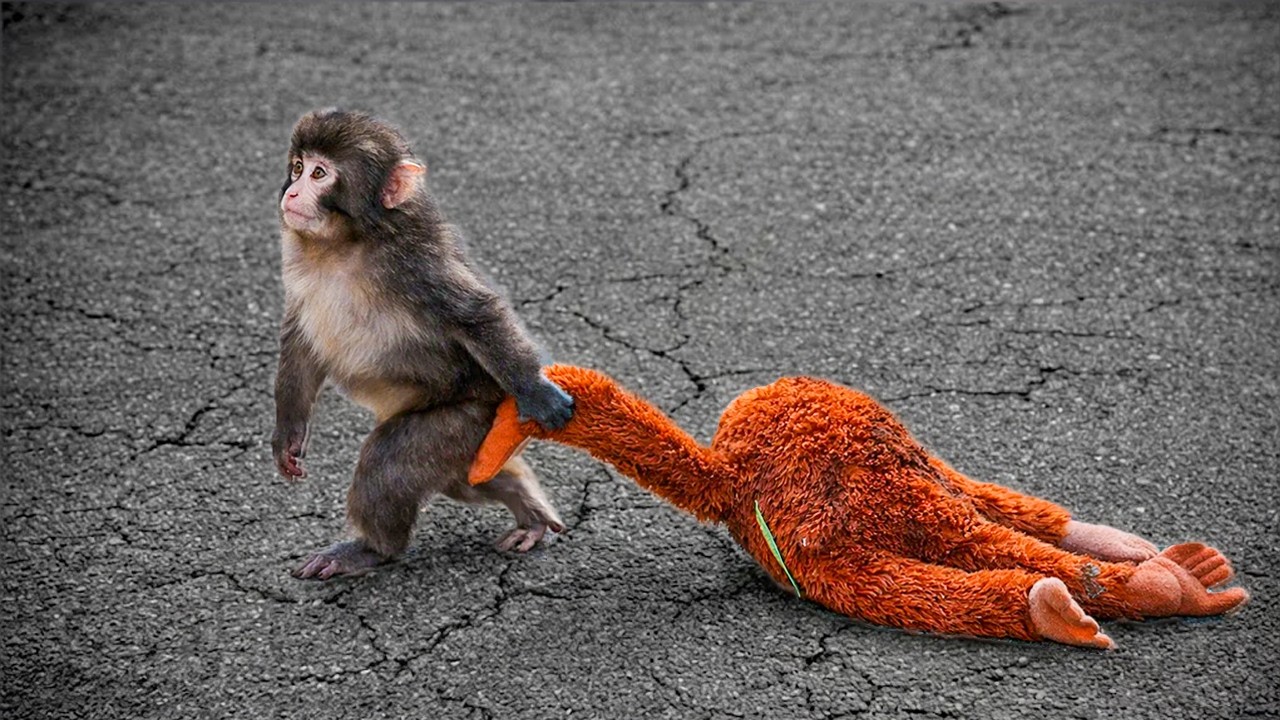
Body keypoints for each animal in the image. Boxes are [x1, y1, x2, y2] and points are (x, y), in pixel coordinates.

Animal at [272, 109, 574, 580]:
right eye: (299, 167)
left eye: (320, 174)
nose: (293, 191)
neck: (344, 243)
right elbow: (300, 341)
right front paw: (288, 433)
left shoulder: (415, 262)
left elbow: (476, 314)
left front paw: (538, 392)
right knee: (465, 480)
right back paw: (529, 511)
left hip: (469, 417)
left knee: (391, 463)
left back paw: (372, 549)